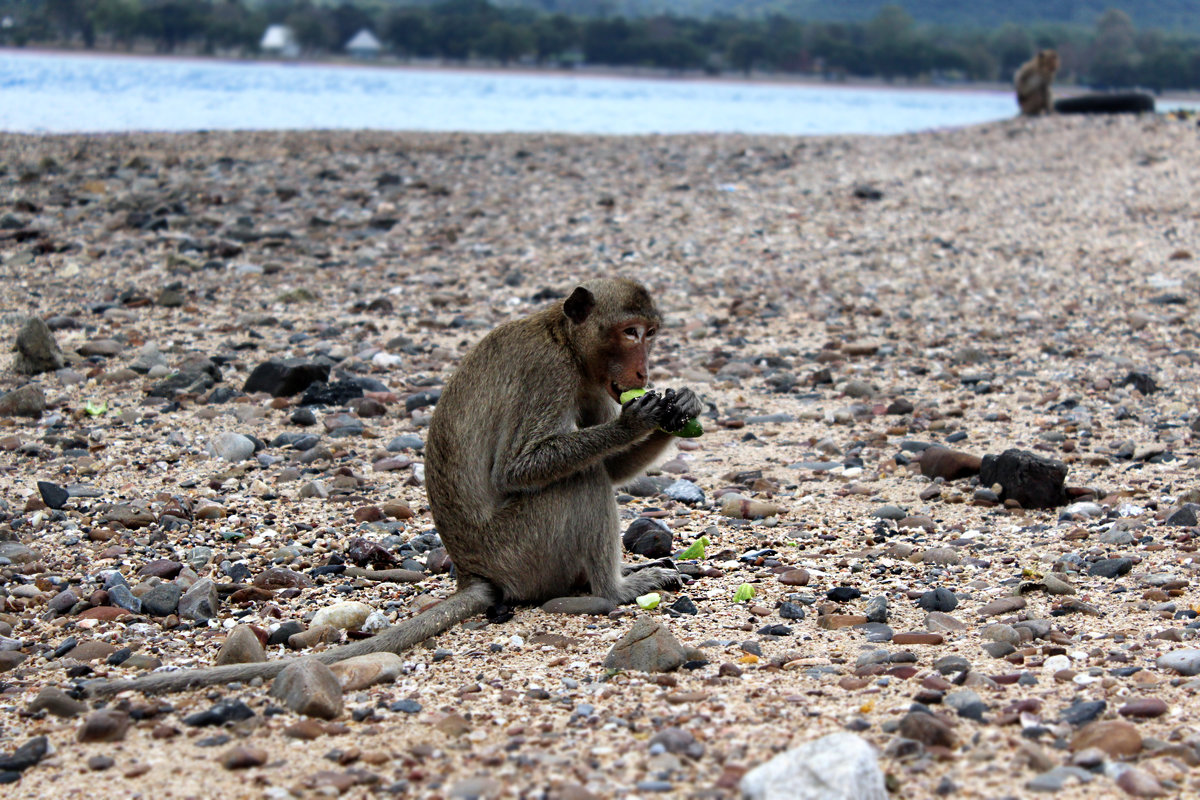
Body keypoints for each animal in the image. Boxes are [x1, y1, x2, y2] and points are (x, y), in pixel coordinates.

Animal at [88, 280, 700, 695]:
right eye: (629, 332)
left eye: (649, 334)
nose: (643, 372)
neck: (565, 339)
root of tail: (476, 572)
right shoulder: (547, 373)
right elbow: (521, 469)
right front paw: (635, 421)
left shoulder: (594, 381)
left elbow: (609, 468)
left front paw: (681, 408)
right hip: (523, 547)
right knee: (580, 480)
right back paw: (613, 591)